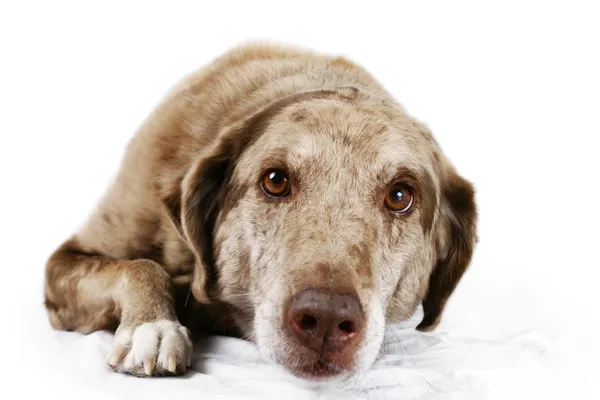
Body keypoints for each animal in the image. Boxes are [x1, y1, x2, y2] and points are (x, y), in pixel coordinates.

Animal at [43, 43, 478, 382]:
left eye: (400, 195)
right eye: (275, 180)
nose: (325, 319)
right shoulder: (64, 262)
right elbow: (139, 267)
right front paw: (153, 326)